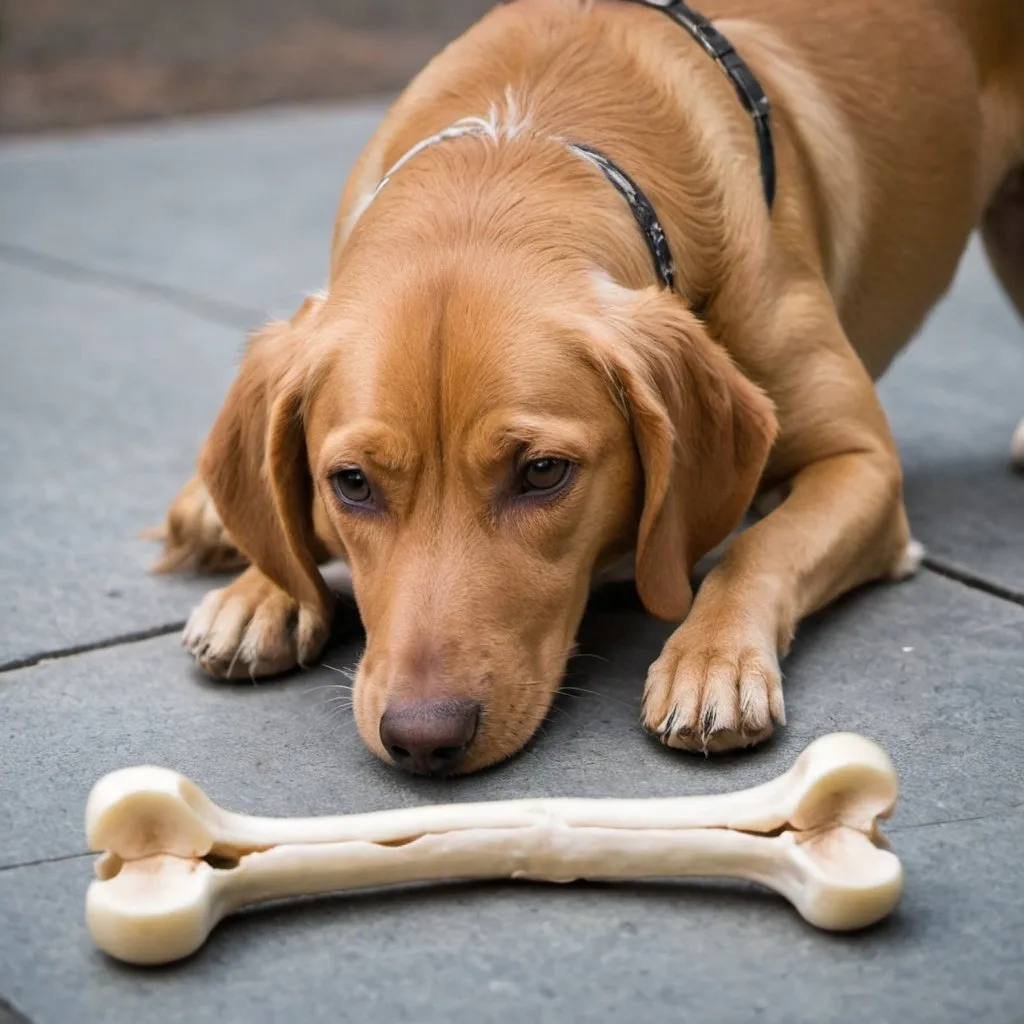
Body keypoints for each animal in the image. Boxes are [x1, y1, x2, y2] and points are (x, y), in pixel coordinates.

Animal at [153, 0, 1024, 770]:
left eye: (543, 472)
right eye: (352, 484)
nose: (423, 740)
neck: (517, 148)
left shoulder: (863, 465)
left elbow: (761, 546)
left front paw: (712, 658)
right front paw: (261, 590)